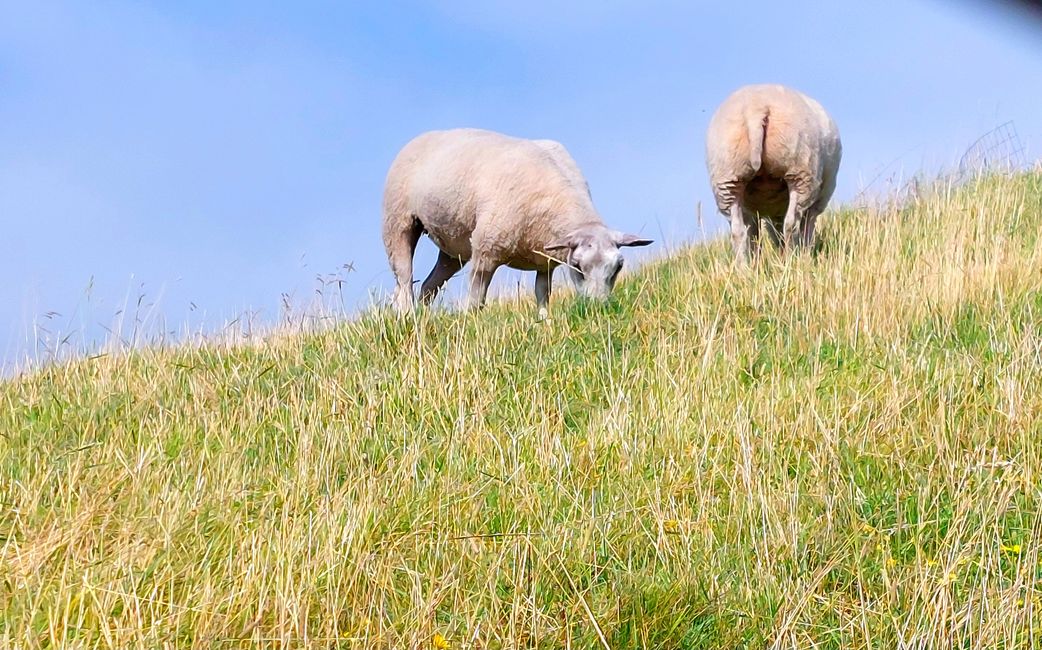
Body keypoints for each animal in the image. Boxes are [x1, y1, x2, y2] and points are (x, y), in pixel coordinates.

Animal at [382, 128, 653, 316]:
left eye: (618, 267)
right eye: (577, 266)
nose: (597, 307)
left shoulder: (545, 261)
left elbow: (542, 294)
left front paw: (544, 322)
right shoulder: (485, 251)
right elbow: (476, 299)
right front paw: (471, 323)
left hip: (453, 247)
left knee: (428, 286)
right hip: (397, 220)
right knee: (404, 276)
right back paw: (406, 314)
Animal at [705, 84, 842, 263]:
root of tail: (755, 108)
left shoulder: (751, 212)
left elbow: (753, 236)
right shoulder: (818, 202)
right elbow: (807, 227)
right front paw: (805, 255)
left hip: (727, 179)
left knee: (738, 231)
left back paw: (744, 267)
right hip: (800, 169)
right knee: (790, 224)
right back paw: (791, 258)